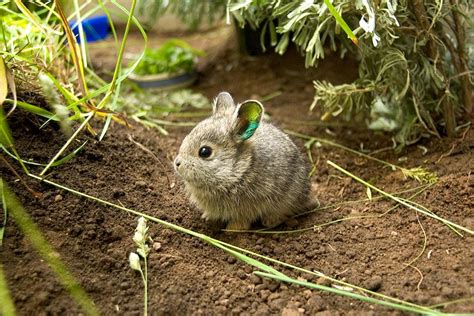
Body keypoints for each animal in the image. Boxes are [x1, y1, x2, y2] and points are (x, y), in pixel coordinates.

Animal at [174, 91, 312, 230]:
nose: (177, 163)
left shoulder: (249, 206)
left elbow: (242, 220)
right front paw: (207, 217)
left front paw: (232, 229)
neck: (237, 171)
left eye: (205, 152)